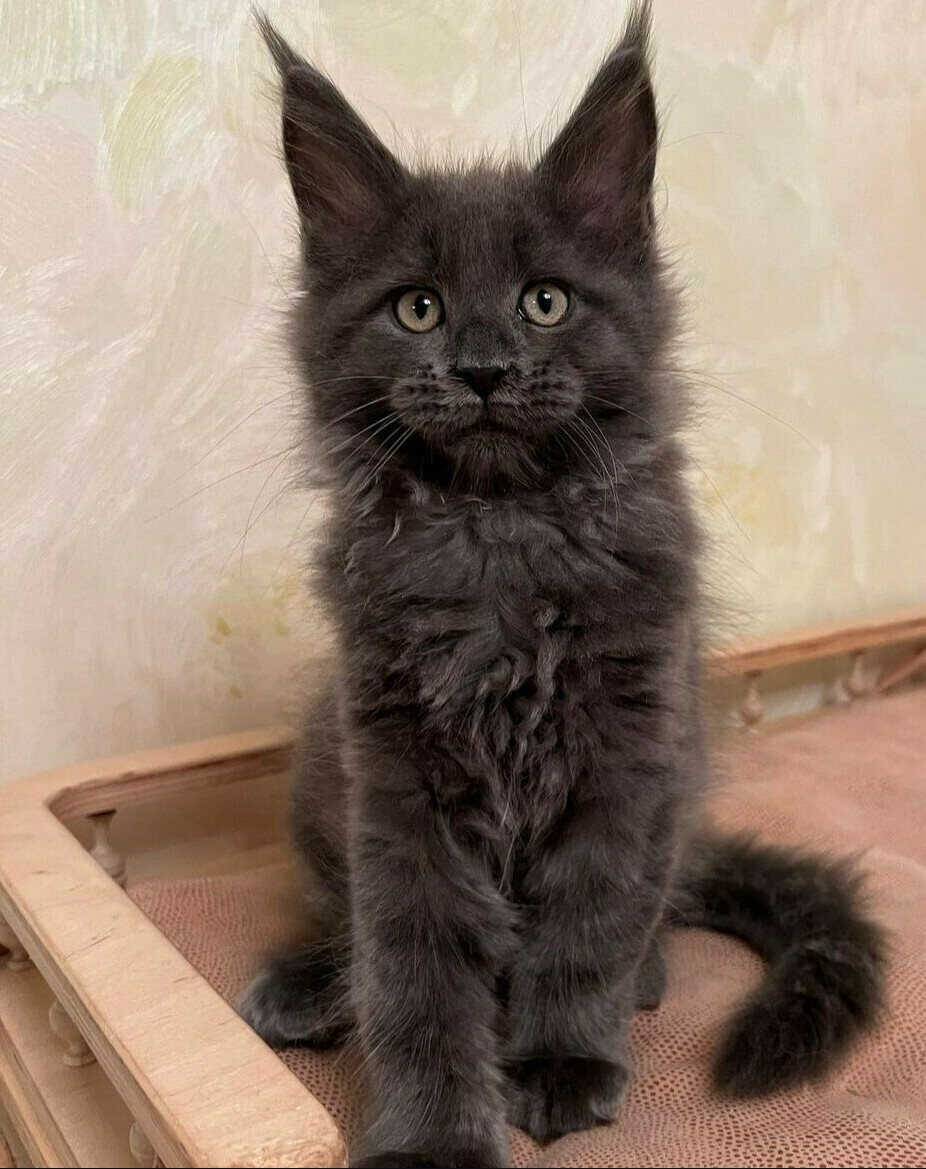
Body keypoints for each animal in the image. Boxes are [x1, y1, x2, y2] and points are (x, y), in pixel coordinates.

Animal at [240, 6, 886, 1167]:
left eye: (545, 301)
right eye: (417, 308)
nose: (483, 367)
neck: (499, 529)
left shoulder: (626, 747)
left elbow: (587, 924)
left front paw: (558, 1062)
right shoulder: (396, 775)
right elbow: (409, 967)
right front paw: (430, 1135)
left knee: (655, 909)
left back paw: (647, 977)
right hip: (321, 766)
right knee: (341, 919)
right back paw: (311, 982)